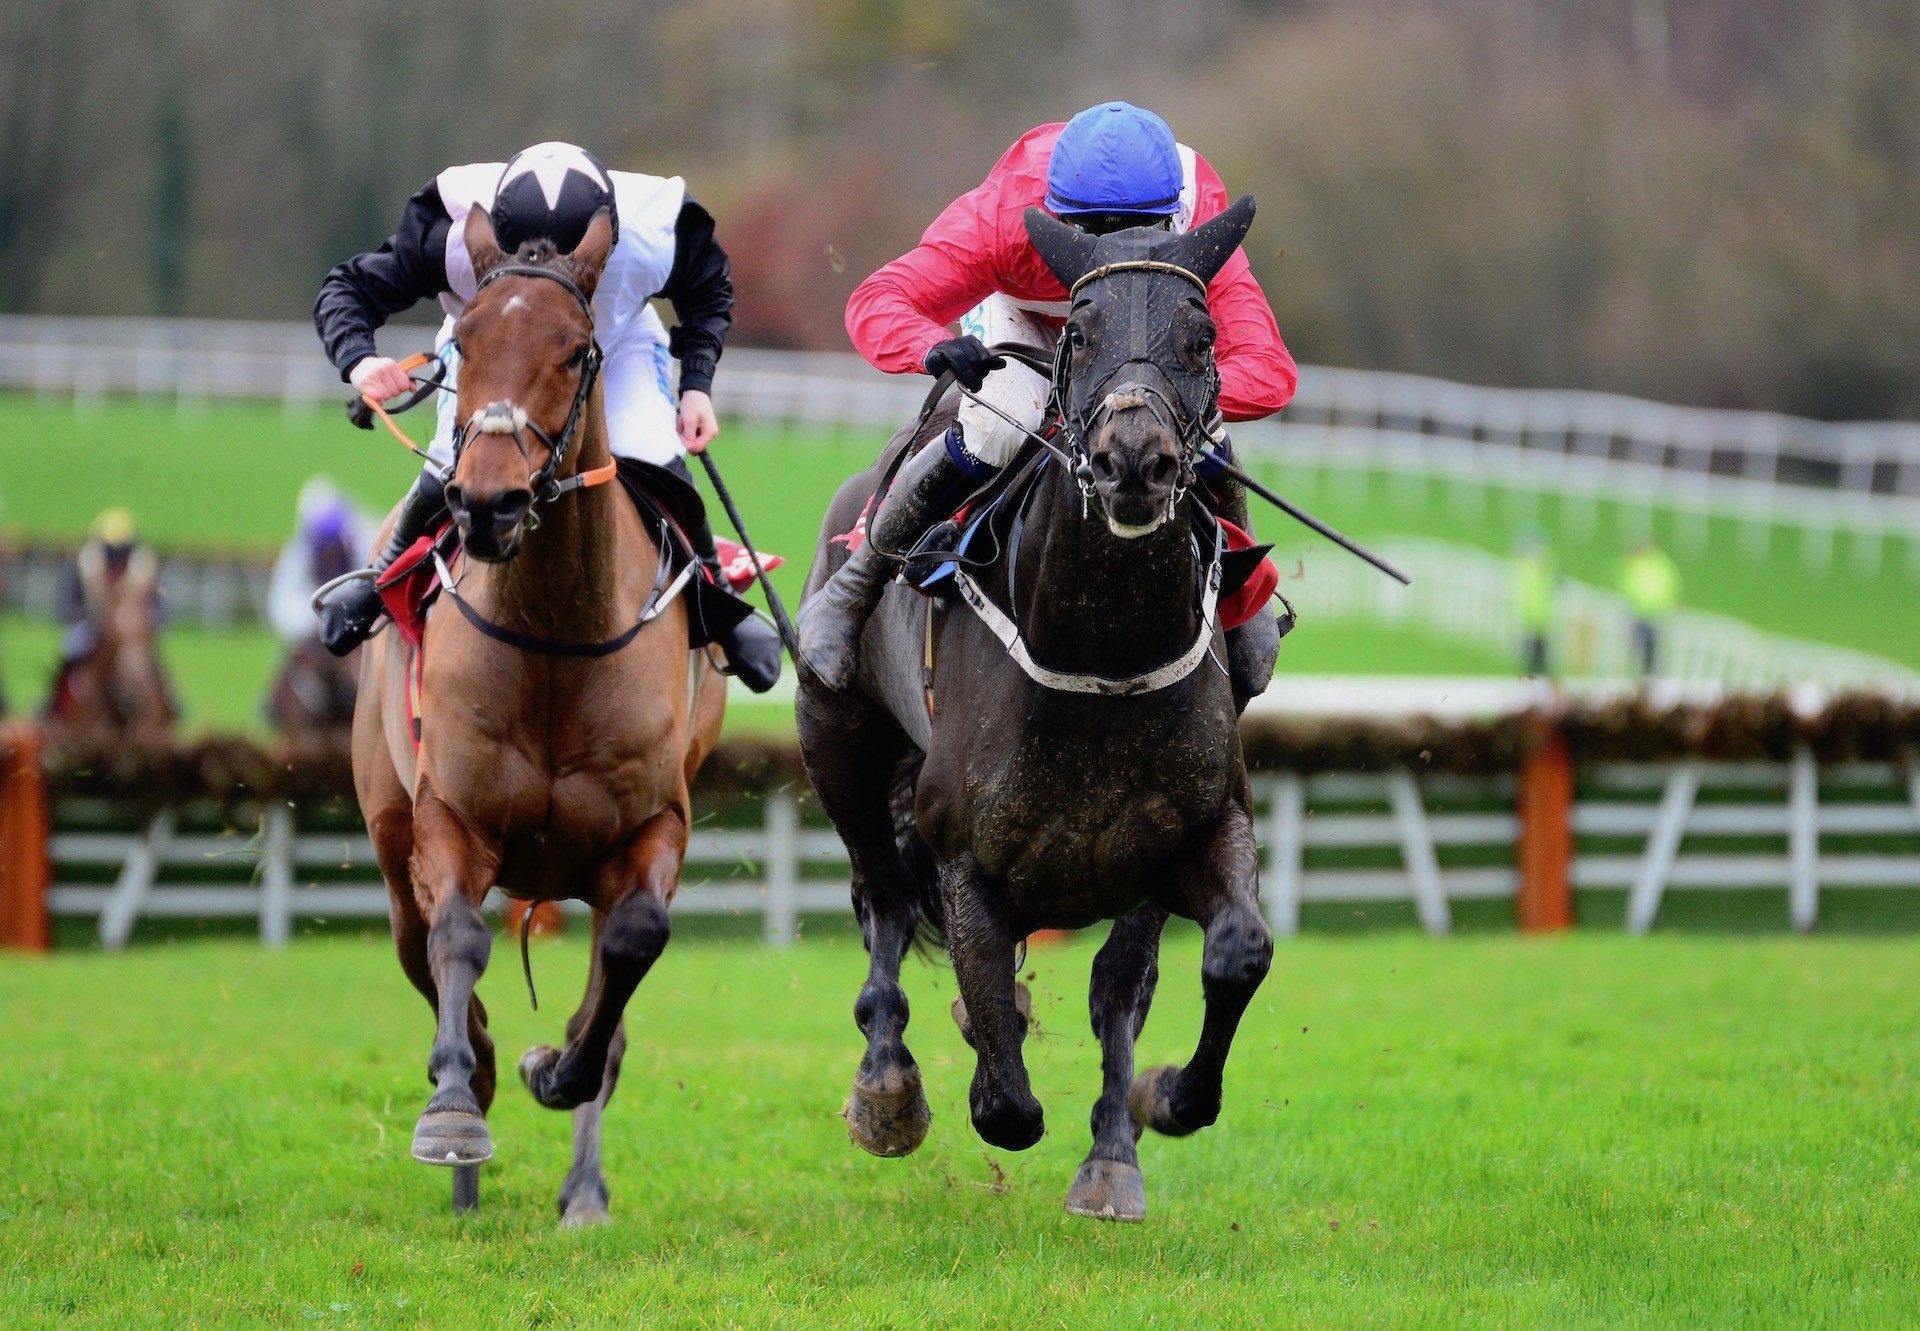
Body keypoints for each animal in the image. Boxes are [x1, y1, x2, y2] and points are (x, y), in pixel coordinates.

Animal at [353, 210, 725, 1221]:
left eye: (572, 351)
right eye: (466, 344)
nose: (486, 504)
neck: (557, 633)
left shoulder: (652, 825)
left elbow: (630, 956)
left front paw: (557, 1068)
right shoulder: (450, 816)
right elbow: (459, 942)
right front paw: (453, 1107)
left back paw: (582, 1185)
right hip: (389, 839)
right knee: (425, 951)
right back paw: (466, 1162)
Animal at [794, 199, 1274, 1221]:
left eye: (1203, 335)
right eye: (1081, 332)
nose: (1133, 461)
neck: (1102, 654)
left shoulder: (1197, 829)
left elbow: (1226, 956)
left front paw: (1159, 1106)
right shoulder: (966, 856)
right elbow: (1007, 1103)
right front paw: (980, 1067)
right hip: (839, 744)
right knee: (883, 896)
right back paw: (887, 1087)